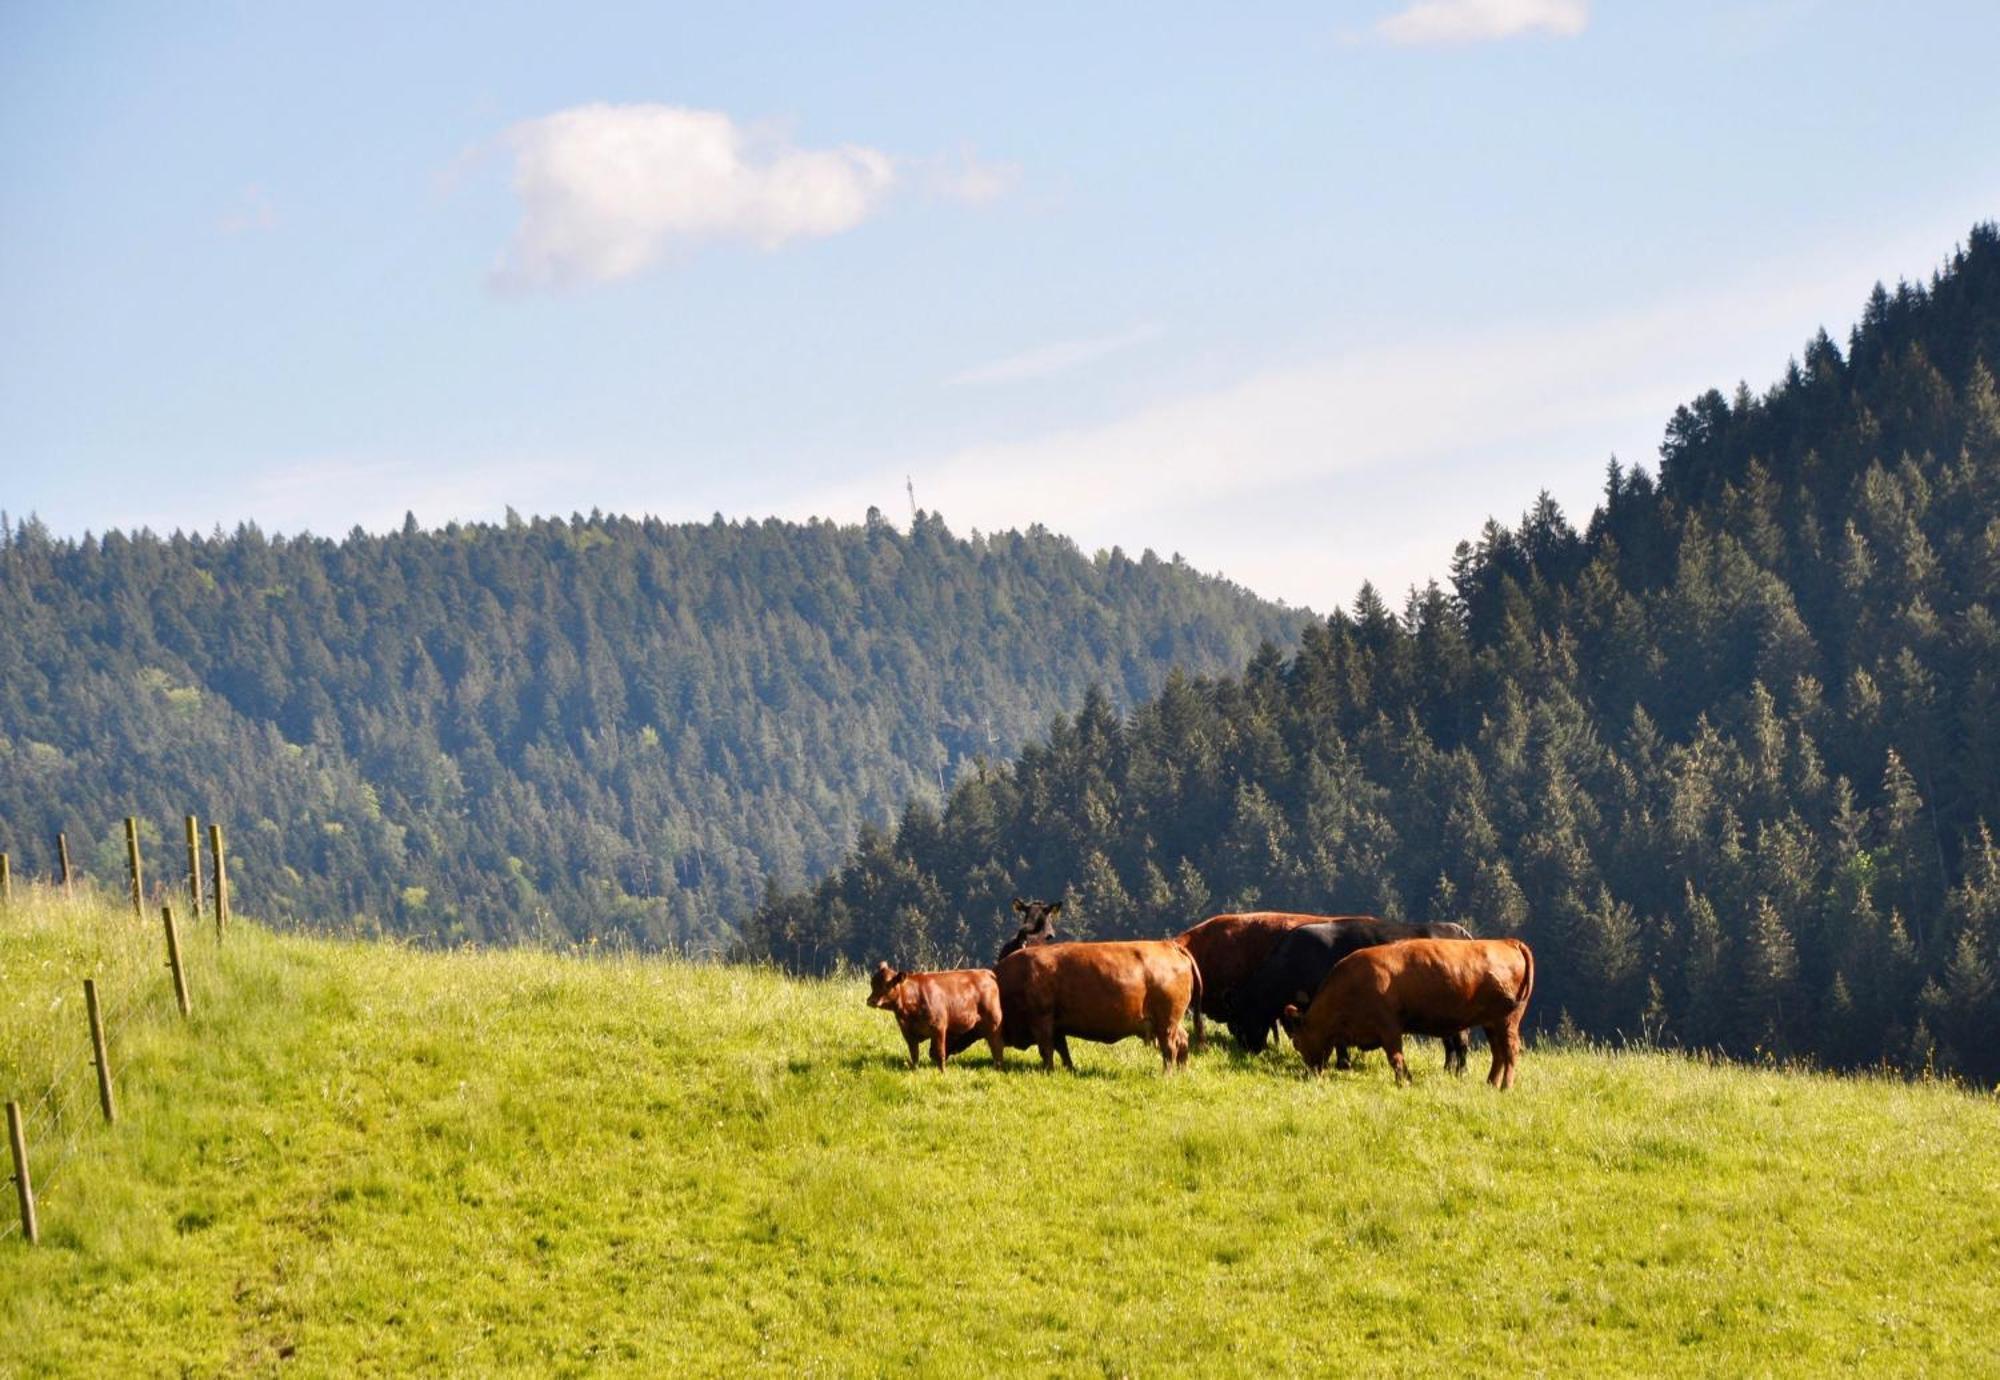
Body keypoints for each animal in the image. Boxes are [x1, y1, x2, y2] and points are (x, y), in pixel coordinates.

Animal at [868, 964, 1008, 1072]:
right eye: (872, 983)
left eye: (887, 985)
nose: (871, 1001)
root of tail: (985, 972)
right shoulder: (908, 1032)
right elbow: (914, 1054)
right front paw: (915, 1070)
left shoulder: (938, 1027)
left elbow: (940, 1053)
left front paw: (943, 1073)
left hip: (994, 1023)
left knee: (997, 1046)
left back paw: (998, 1068)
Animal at [996, 940, 1200, 1072]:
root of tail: (1169, 945)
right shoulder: (1057, 1026)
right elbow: (1062, 1049)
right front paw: (1069, 1070)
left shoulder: (1042, 1020)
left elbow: (1046, 1049)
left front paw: (1048, 1071)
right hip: (1173, 1022)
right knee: (1183, 1040)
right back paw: (1182, 1072)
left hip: (1166, 1024)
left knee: (1170, 1048)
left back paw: (1167, 1074)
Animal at [1224, 912, 1480, 1056]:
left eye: (1238, 1023)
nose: (1250, 1051)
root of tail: (1460, 931)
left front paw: (1343, 1062)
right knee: (1451, 1043)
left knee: (1460, 1042)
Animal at [1272, 936, 1536, 1088]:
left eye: (1297, 1042)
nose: (1311, 1073)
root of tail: (1507, 942)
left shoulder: (1389, 1027)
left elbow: (1395, 1057)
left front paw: (1404, 1081)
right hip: (1492, 1023)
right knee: (1498, 1053)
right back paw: (1490, 1083)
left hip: (1507, 1020)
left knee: (1510, 1051)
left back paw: (1505, 1087)